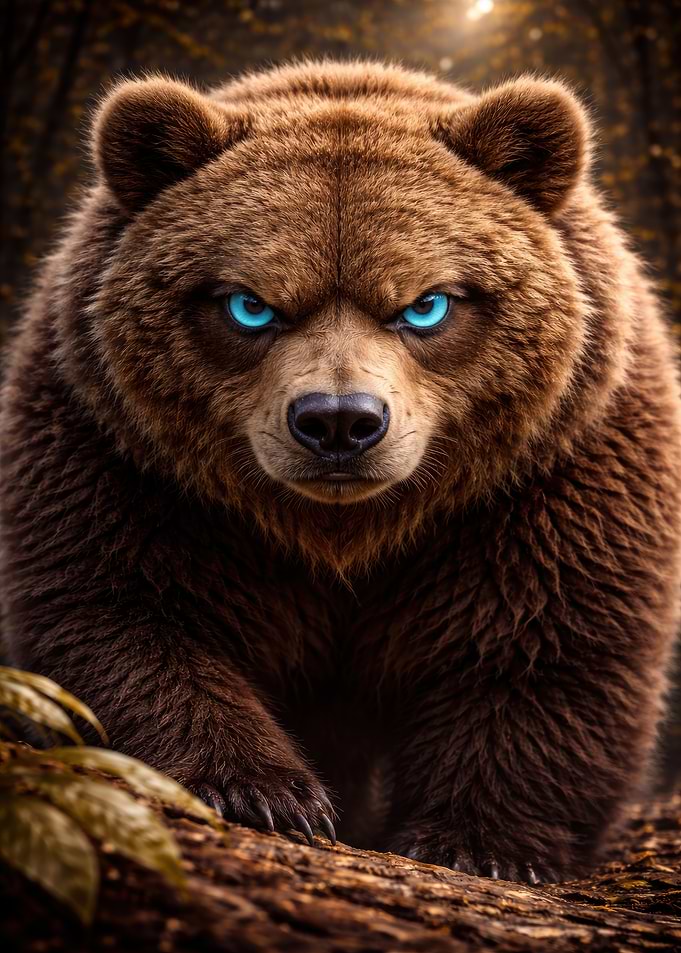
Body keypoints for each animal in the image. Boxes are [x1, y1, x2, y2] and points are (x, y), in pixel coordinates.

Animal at [1, 58, 680, 885]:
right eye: (249, 305)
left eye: (426, 305)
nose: (337, 422)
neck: (343, 530)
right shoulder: (126, 462)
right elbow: (122, 614)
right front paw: (261, 792)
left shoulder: (549, 474)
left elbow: (546, 642)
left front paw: (477, 841)